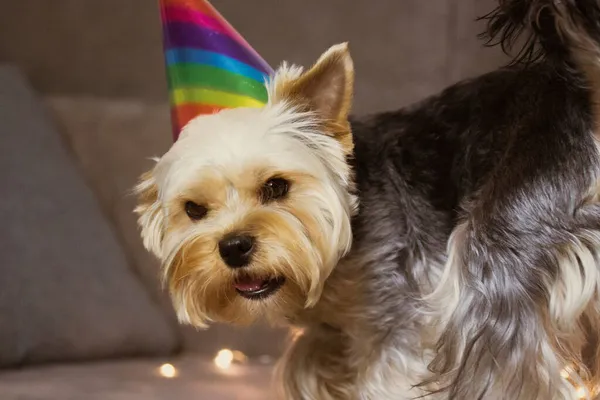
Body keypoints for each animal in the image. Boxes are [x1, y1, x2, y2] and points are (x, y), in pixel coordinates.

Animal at [136, 1, 600, 398]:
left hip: (503, 241)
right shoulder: (328, 338)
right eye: (194, 210)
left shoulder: (401, 322)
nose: (233, 247)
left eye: (276, 187)